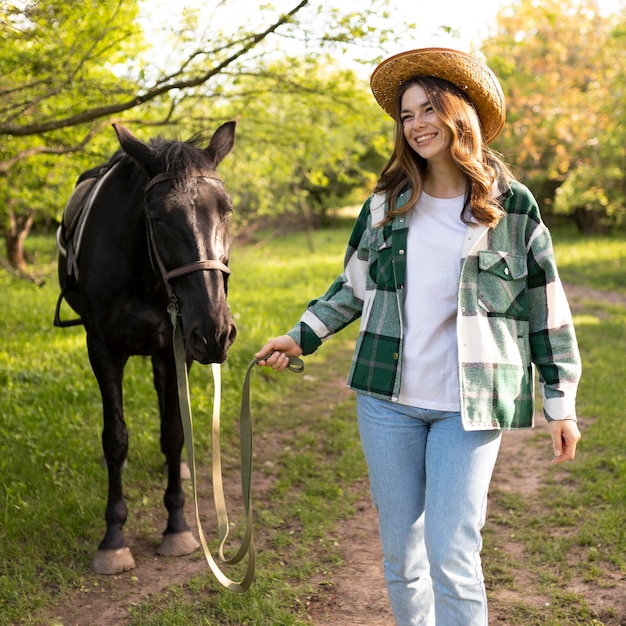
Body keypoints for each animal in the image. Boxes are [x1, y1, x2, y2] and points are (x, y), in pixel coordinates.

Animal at [56, 119, 238, 572]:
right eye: (156, 217)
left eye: (226, 210)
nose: (216, 331)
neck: (144, 273)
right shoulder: (102, 350)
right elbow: (115, 437)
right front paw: (113, 538)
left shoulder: (176, 348)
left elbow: (173, 431)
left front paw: (177, 525)